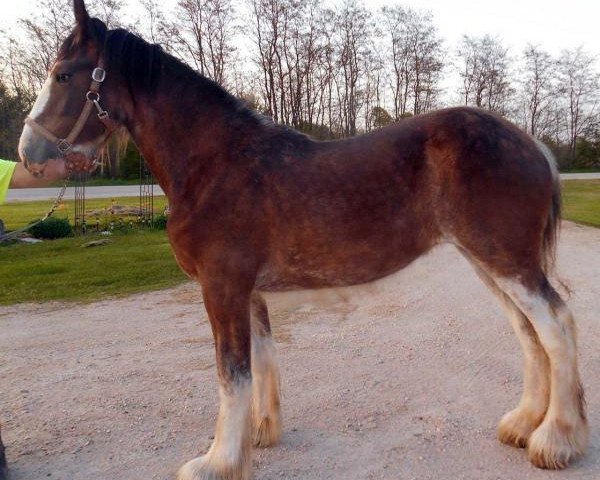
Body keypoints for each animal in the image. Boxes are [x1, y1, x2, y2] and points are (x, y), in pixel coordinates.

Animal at [16, 1, 588, 478]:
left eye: (63, 74)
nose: (27, 154)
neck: (214, 164)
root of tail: (533, 145)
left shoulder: (221, 287)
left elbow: (231, 374)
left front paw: (216, 462)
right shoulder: (247, 291)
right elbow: (261, 360)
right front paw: (258, 435)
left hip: (507, 262)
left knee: (556, 326)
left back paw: (555, 441)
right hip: (488, 264)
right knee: (528, 334)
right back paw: (523, 425)